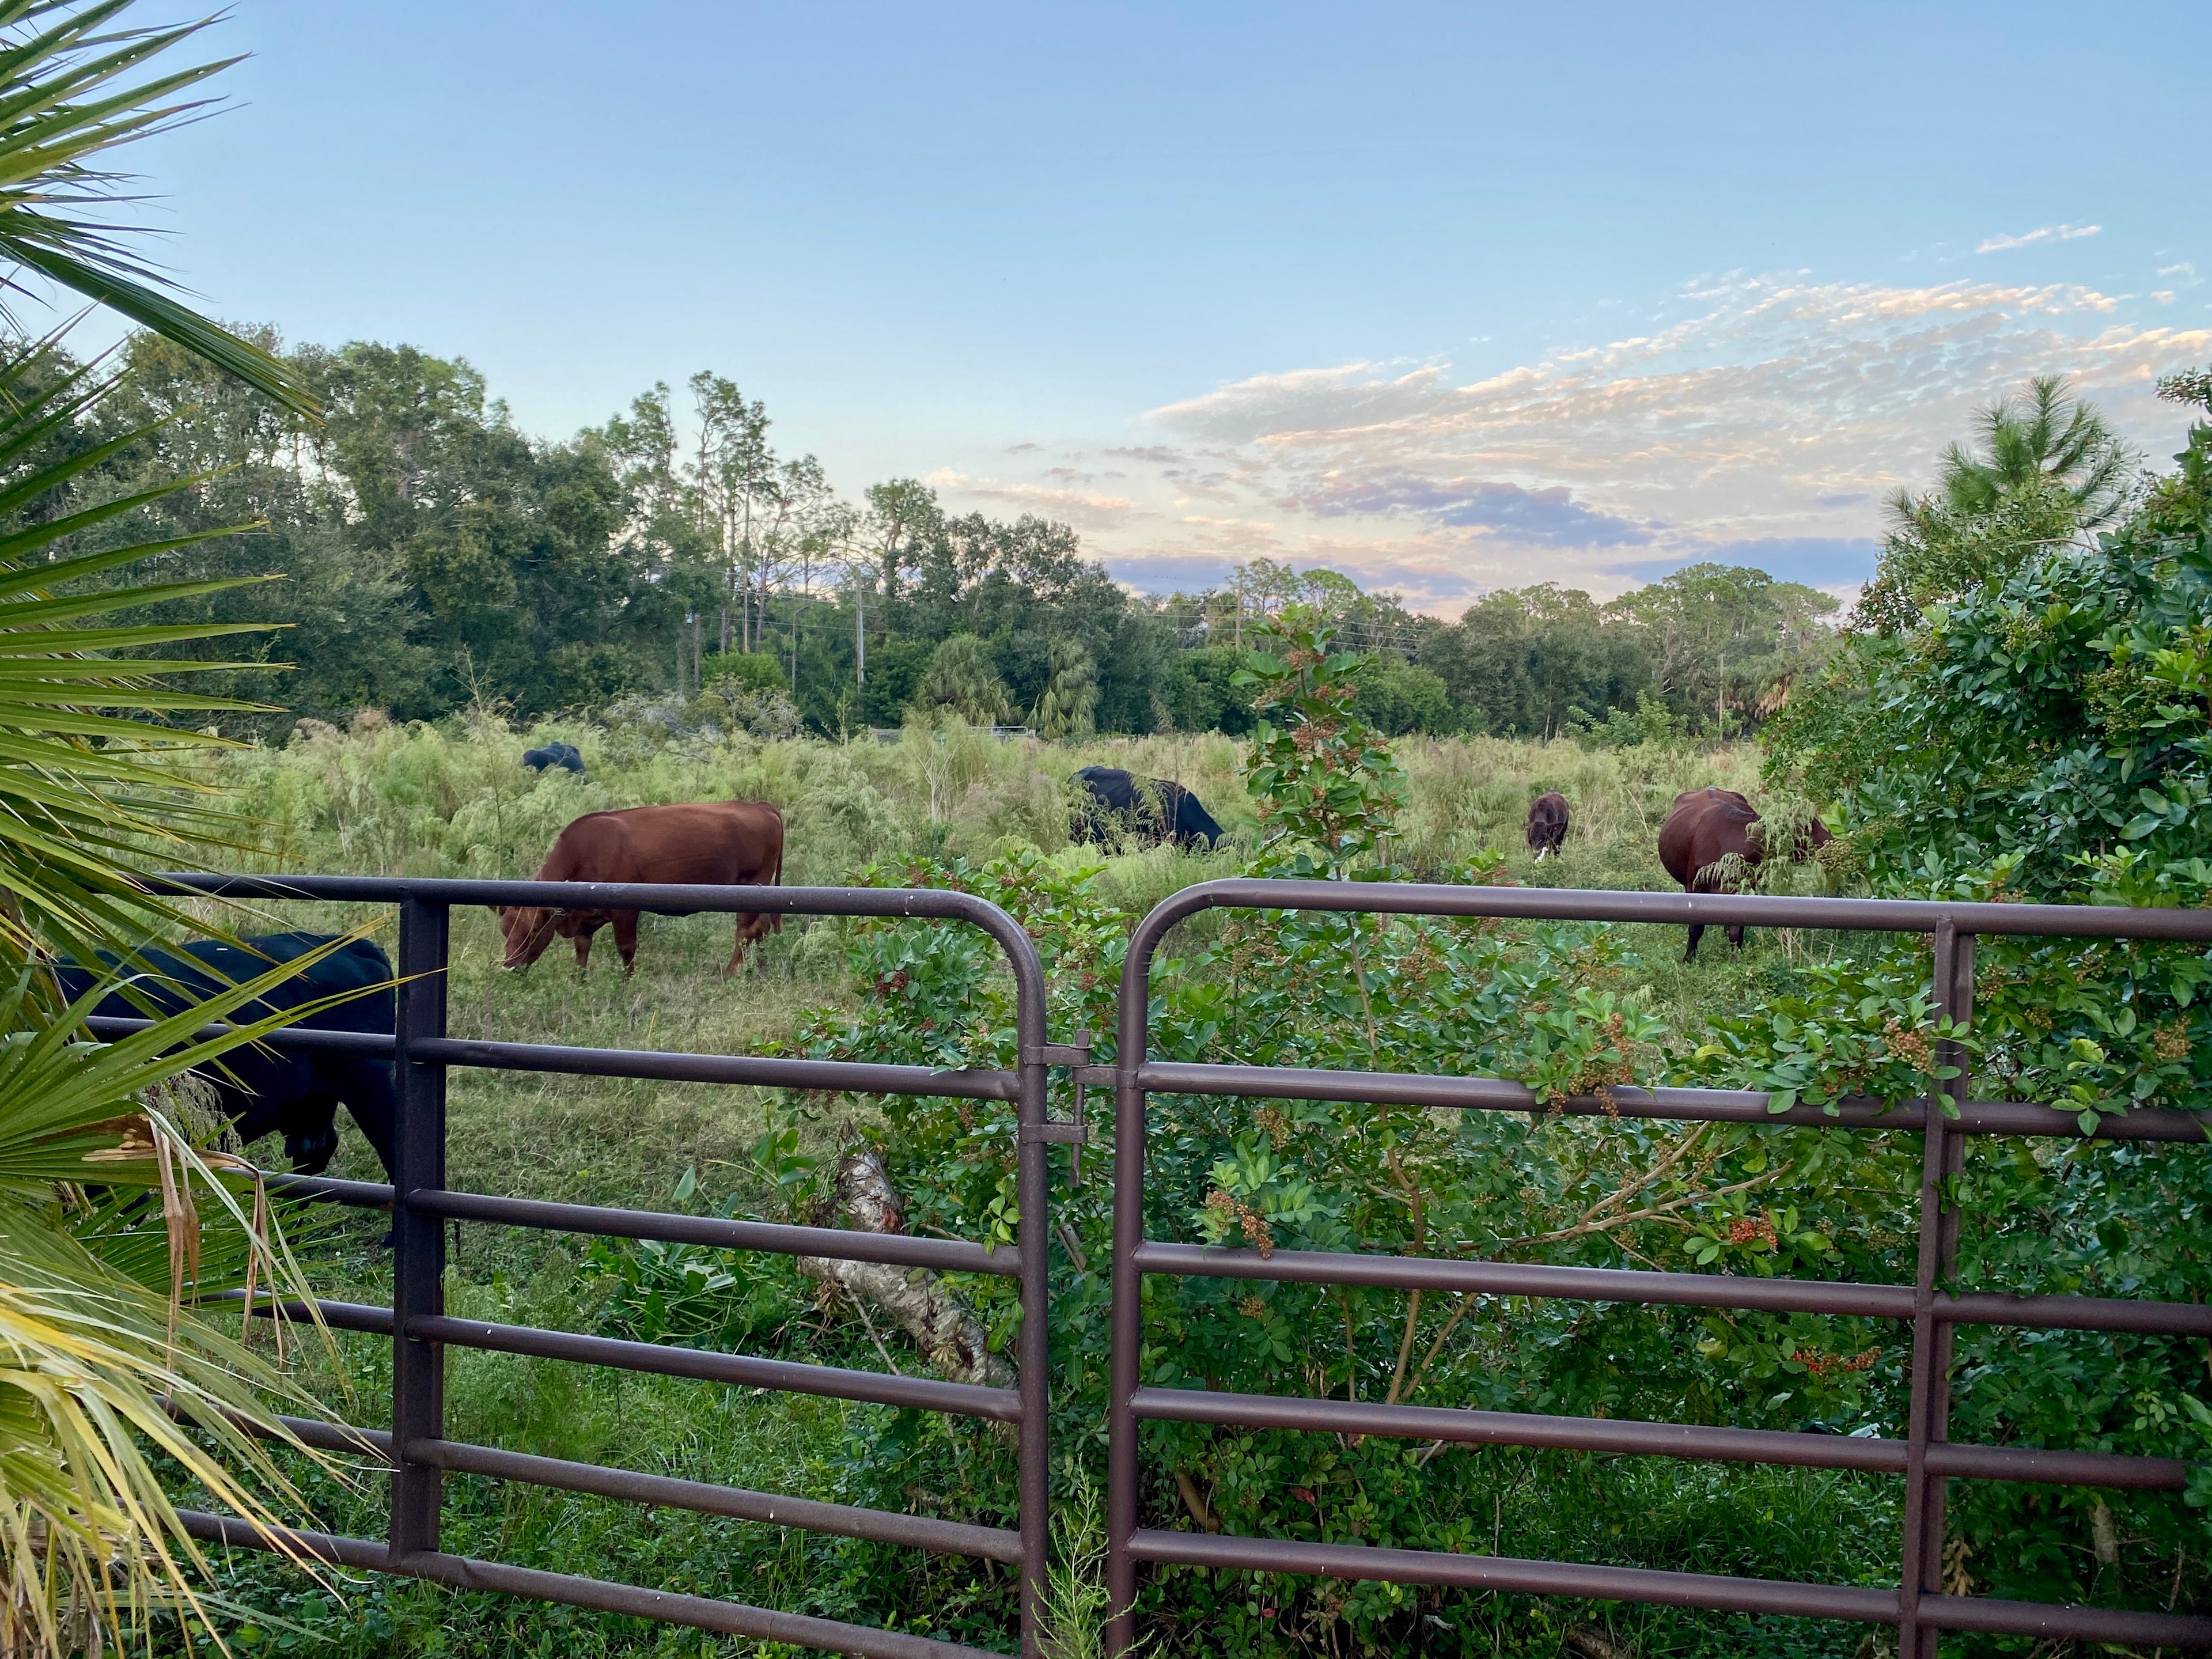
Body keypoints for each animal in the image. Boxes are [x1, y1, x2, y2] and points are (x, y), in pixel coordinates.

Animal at [497, 800, 786, 977]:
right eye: (504, 931)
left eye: (533, 930)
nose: (509, 967)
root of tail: (760, 805)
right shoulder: (585, 918)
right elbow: (582, 950)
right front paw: (577, 983)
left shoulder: (625, 912)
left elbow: (626, 950)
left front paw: (626, 986)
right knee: (762, 929)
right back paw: (759, 969)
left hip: (750, 888)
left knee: (746, 933)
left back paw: (729, 973)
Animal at [1658, 787, 1832, 962]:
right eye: (1807, 828)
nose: (1830, 841)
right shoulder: (1695, 885)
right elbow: (1695, 928)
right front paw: (1689, 958)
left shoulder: (1742, 890)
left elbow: (1737, 930)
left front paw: (1735, 959)